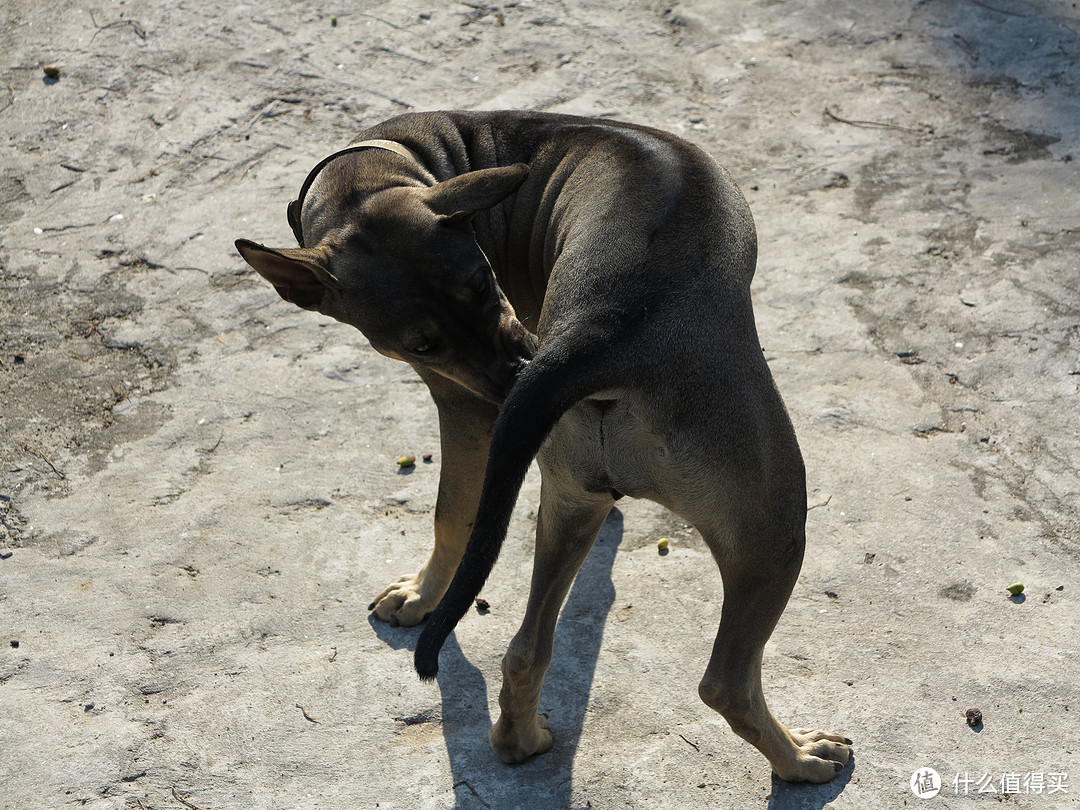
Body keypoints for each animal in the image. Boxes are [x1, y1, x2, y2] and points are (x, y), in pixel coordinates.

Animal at [236, 111, 851, 781]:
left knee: (525, 648)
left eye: (482, 284)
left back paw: (517, 741)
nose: (518, 372)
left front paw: (423, 595)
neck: (383, 167)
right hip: (773, 522)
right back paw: (801, 758)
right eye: (423, 341)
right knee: (726, 683)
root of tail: (600, 330)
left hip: (573, 499)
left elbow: (454, 510)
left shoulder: (469, 407)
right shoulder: (468, 393)